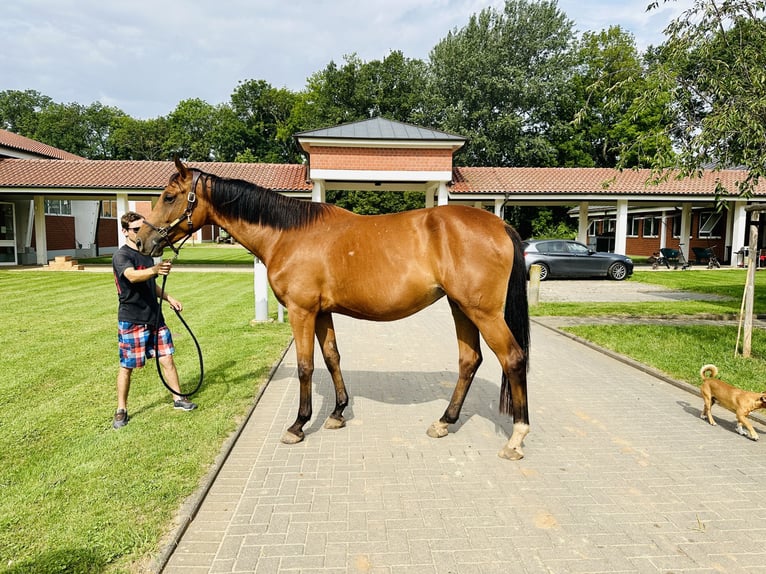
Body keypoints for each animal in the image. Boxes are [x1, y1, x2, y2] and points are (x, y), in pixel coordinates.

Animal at [136, 160, 536, 462]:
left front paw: (298, 425)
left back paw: (516, 438)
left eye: (168, 197)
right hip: (460, 307)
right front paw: (338, 413)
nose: (142, 240)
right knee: (469, 360)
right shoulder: (322, 313)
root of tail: (500, 223)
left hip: (482, 311)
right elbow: (332, 357)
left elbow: (305, 366)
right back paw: (444, 422)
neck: (287, 235)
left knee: (513, 359)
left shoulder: (301, 312)